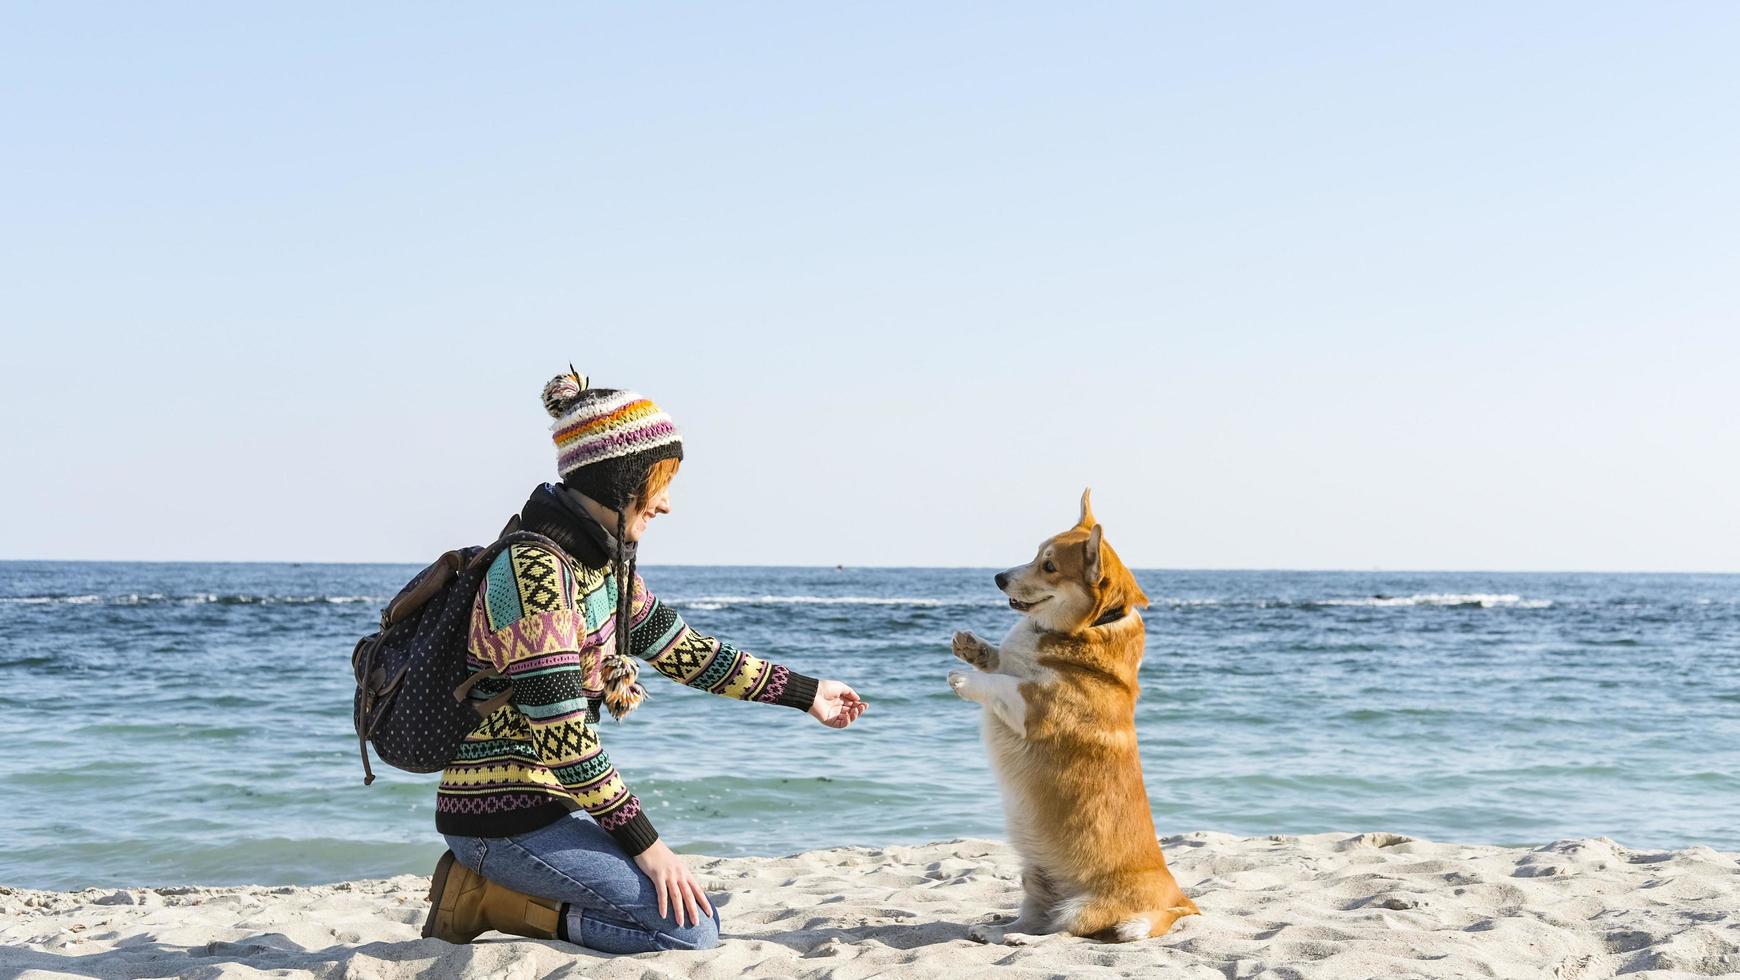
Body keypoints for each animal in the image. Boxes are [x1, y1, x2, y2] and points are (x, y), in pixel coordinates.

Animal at [953, 490, 1197, 939]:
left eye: (1049, 567)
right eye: (1035, 554)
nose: (998, 577)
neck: (1087, 628)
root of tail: (1179, 900)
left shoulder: (1033, 707)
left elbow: (1004, 685)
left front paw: (963, 678)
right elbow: (1000, 661)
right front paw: (973, 648)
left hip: (1083, 908)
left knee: (1059, 933)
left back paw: (1016, 939)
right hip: (1033, 878)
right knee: (1038, 919)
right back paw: (997, 932)